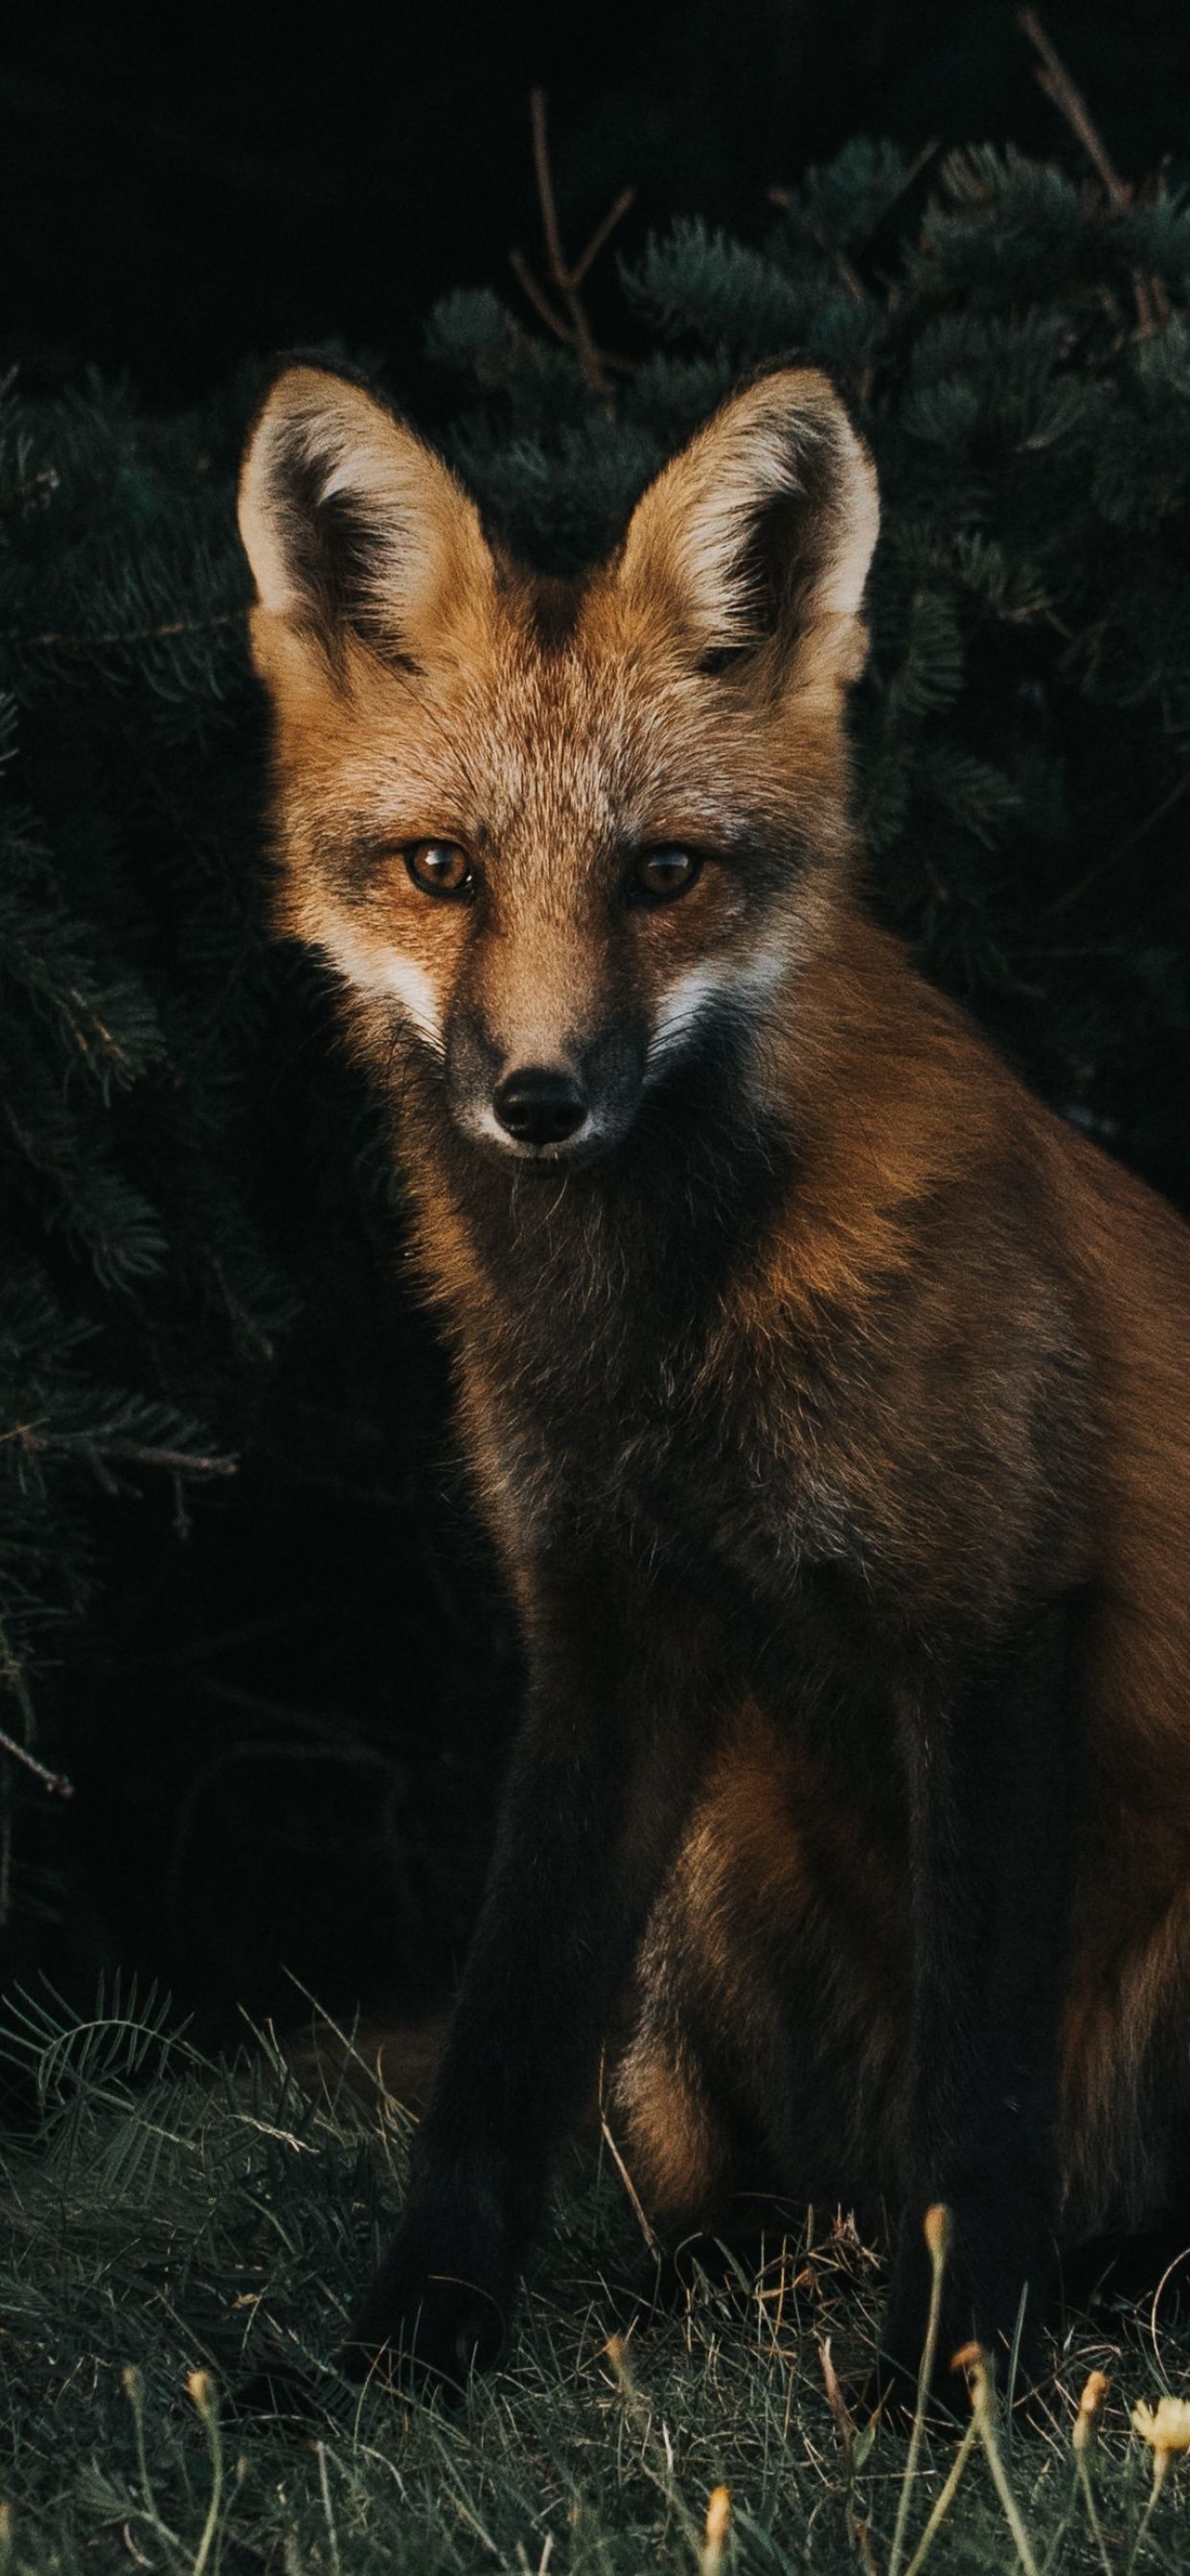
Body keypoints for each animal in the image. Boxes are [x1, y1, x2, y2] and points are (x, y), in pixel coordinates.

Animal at [234, 353, 1190, 2401]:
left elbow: (982, 2087)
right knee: (734, 2192)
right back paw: (730, 2275)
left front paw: (952, 2384)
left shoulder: (994, 1612)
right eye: (439, 870)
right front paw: (403, 2350)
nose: (537, 1098)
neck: (663, 1339)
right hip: (716, 1877)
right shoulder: (600, 1625)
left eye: (664, 873)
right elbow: (498, 2048)